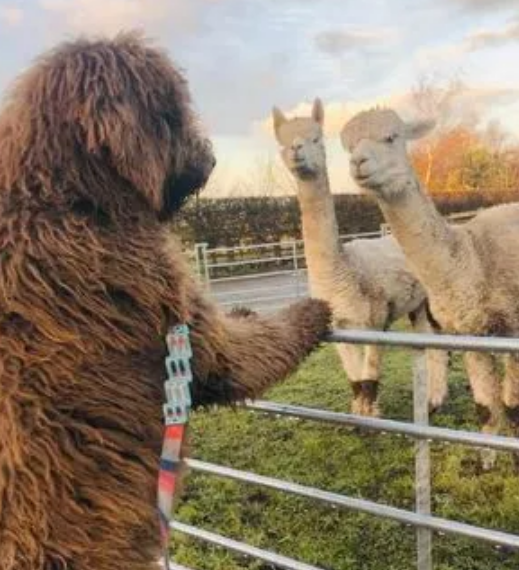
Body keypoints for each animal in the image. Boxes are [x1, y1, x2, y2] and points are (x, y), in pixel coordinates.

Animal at [0, 33, 334, 564]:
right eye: (171, 114)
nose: (211, 159)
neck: (69, 199)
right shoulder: (175, 310)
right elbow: (249, 350)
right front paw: (312, 311)